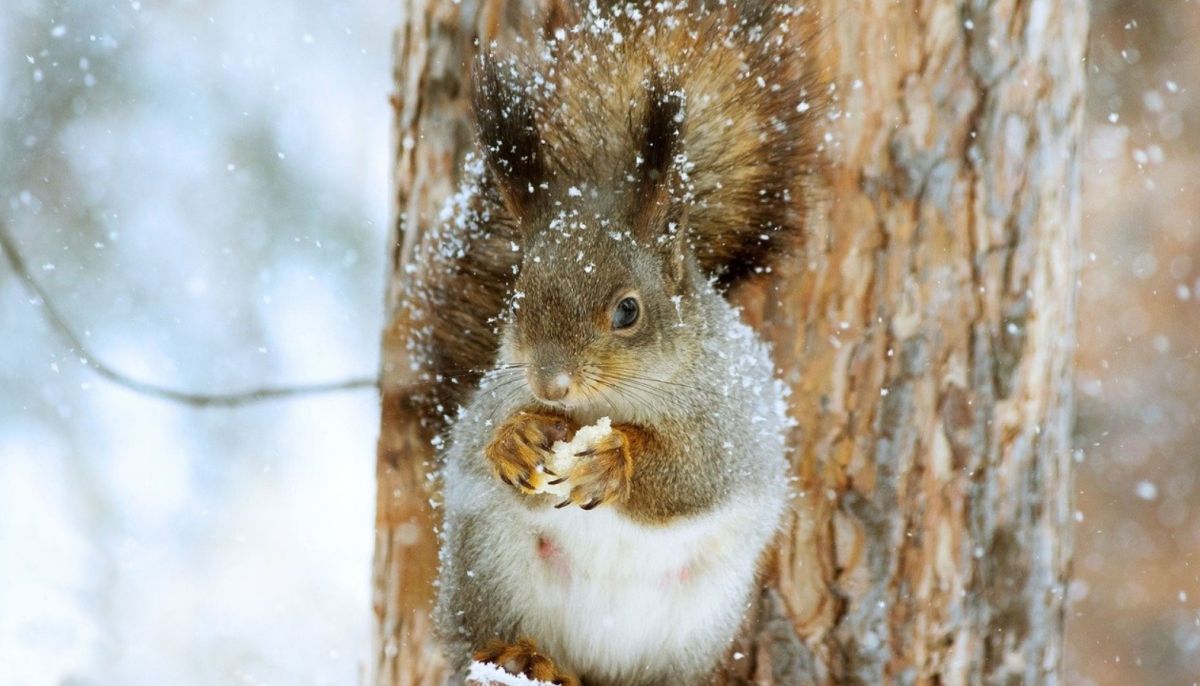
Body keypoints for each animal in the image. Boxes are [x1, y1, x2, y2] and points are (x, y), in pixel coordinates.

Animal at [427, 1, 820, 686]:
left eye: (628, 311)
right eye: (517, 296)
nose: (550, 385)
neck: (604, 405)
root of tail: (595, 662)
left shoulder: (733, 424)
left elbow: (696, 475)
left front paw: (616, 460)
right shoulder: (489, 397)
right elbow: (476, 439)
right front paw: (515, 440)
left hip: (698, 621)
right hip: (487, 564)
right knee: (477, 639)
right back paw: (521, 655)